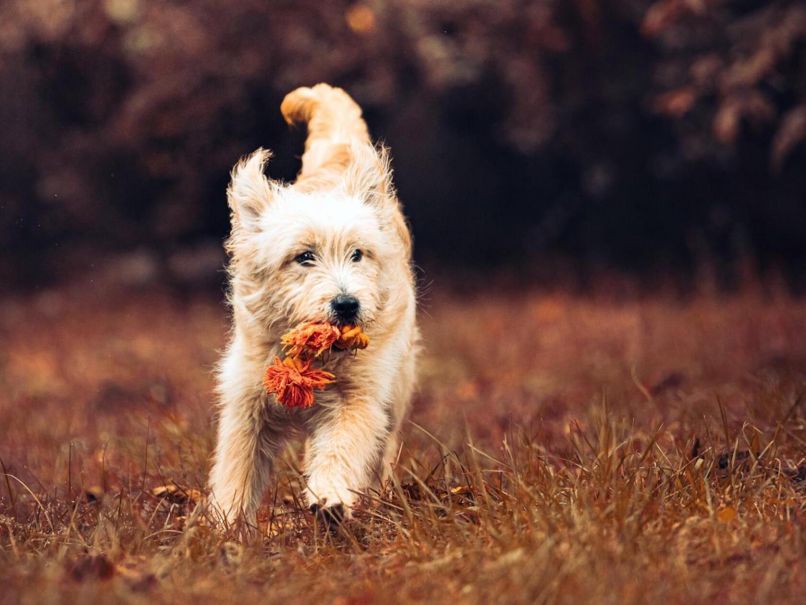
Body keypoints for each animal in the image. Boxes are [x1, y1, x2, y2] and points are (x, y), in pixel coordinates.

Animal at [208, 84, 420, 524]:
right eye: (305, 256)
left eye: (357, 254)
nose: (347, 305)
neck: (312, 354)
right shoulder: (247, 401)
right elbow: (237, 467)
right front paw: (225, 525)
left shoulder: (358, 398)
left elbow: (342, 446)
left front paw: (330, 497)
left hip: (397, 387)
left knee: (382, 447)